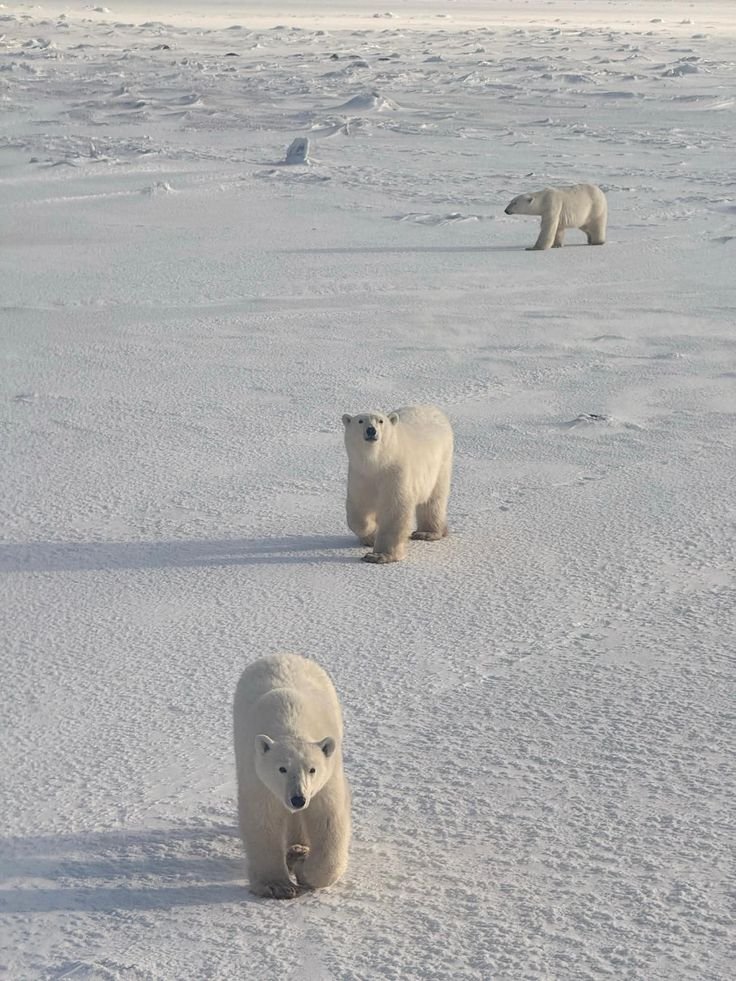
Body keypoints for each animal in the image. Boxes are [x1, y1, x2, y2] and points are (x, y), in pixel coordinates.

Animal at [233, 653, 351, 900]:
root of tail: (281, 655)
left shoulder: (327, 779)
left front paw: (303, 867)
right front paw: (277, 885)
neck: (291, 724)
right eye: (282, 769)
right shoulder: (258, 779)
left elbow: (328, 817)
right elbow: (263, 819)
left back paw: (298, 848)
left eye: (312, 769)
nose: (298, 799)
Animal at [341, 403, 454, 564]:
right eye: (360, 421)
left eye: (381, 421)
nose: (371, 430)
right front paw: (371, 536)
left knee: (434, 499)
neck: (378, 463)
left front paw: (379, 555)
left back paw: (427, 533)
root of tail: (433, 409)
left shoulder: (396, 474)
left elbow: (395, 510)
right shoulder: (360, 476)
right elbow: (358, 512)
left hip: (441, 463)